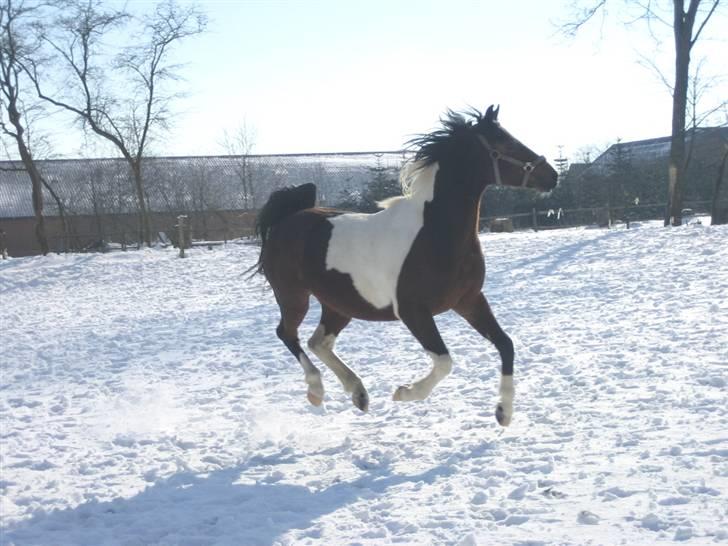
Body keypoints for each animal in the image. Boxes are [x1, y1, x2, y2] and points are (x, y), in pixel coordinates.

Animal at [250, 105, 556, 424]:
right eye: (503, 144)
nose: (553, 176)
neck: (434, 233)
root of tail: (286, 220)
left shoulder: (469, 300)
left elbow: (506, 344)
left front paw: (504, 412)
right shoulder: (413, 311)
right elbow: (444, 361)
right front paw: (404, 392)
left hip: (339, 304)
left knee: (317, 342)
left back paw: (358, 393)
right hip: (294, 296)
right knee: (287, 334)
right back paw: (316, 391)